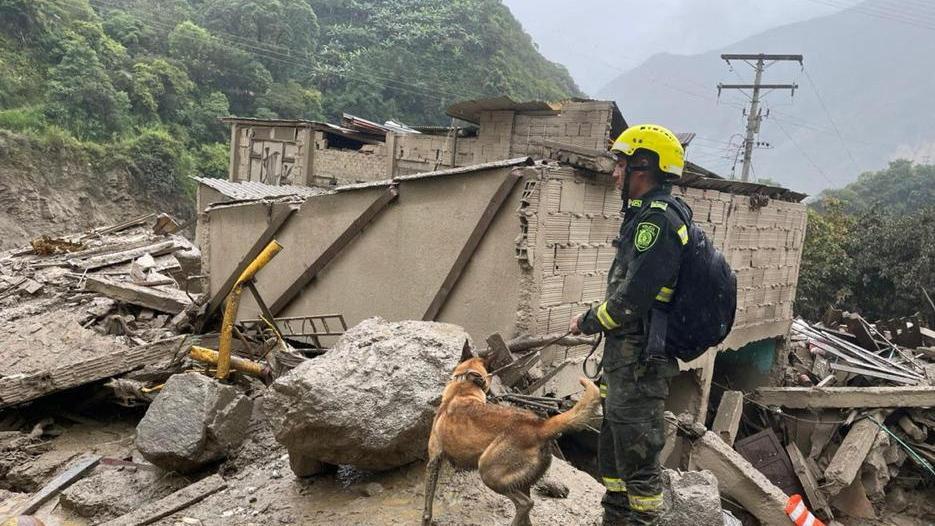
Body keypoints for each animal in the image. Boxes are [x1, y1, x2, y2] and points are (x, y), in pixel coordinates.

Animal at [422, 356, 600, 524]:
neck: (462, 388)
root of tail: (540, 426)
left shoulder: (433, 461)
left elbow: (427, 507)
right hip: (521, 482)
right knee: (527, 515)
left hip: (489, 472)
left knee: (525, 504)